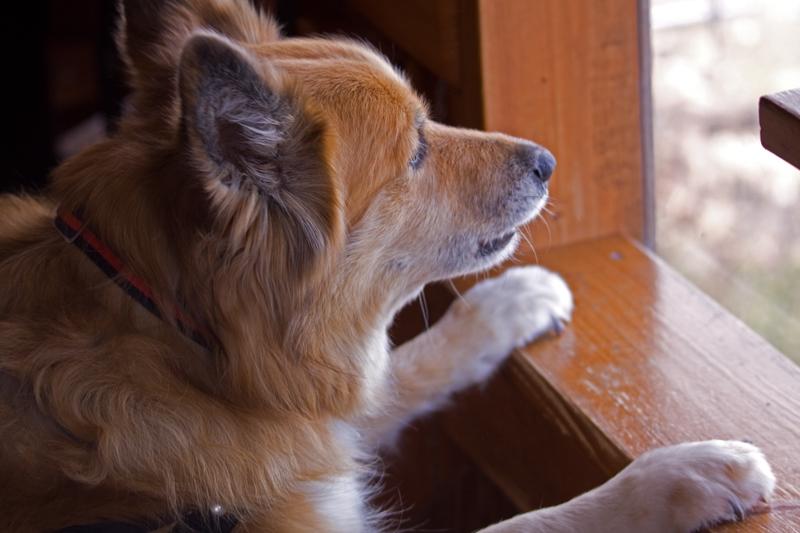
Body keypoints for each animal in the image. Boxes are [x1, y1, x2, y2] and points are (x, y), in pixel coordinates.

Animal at [0, 1, 776, 532]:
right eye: (415, 152)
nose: (547, 161)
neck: (182, 341)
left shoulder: (321, 421)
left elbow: (408, 368)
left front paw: (507, 304)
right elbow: (533, 521)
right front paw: (686, 475)